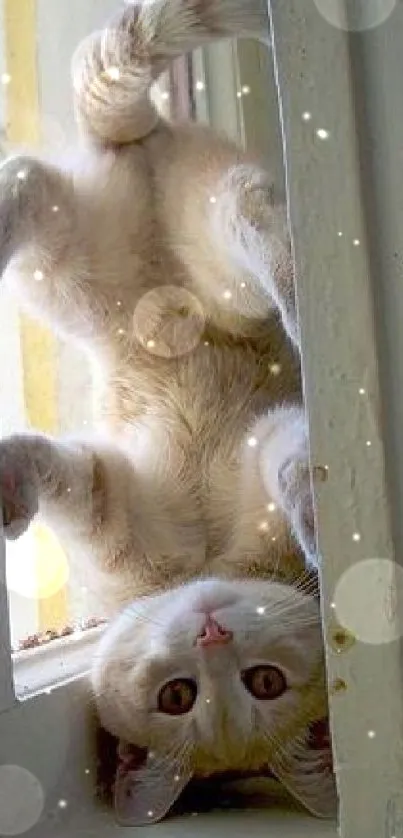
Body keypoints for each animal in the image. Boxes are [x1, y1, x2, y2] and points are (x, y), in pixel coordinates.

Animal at [0, 0, 336, 828]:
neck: (206, 565)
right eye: (176, 696)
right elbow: (51, 464)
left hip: (159, 253)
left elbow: (290, 458)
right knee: (22, 178)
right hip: (80, 266)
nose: (209, 632)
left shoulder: (256, 441)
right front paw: (9, 487)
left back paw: (304, 318)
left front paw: (317, 520)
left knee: (260, 231)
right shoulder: (105, 492)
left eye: (262, 683)